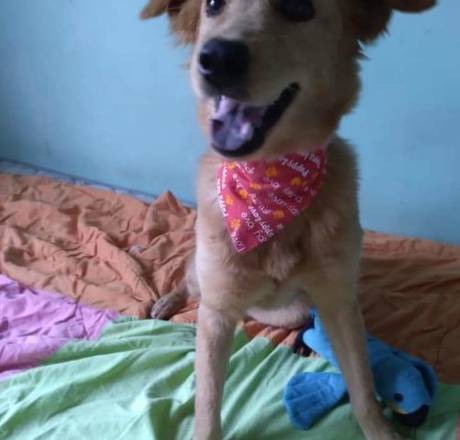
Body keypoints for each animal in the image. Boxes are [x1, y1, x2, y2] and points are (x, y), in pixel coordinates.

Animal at [140, 0, 435, 438]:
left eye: (298, 7)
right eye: (212, 4)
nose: (216, 58)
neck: (272, 184)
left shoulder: (338, 302)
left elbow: (363, 384)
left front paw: (381, 430)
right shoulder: (216, 311)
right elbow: (207, 403)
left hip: (292, 308)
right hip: (204, 278)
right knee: (187, 279)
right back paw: (167, 300)